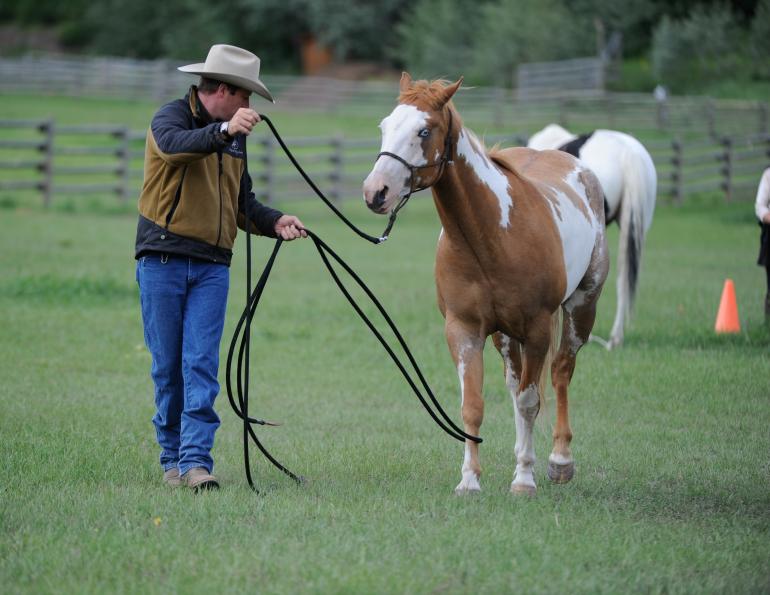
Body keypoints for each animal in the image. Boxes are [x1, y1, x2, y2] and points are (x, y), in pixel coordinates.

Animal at [363, 73, 609, 496]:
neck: (491, 236)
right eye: (384, 126)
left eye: (424, 130)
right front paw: (469, 480)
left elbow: (530, 401)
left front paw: (524, 480)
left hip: (581, 308)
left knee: (560, 372)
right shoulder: (464, 331)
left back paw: (559, 461)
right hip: (505, 336)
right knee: (515, 383)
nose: (375, 191)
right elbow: (473, 406)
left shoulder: (538, 330)